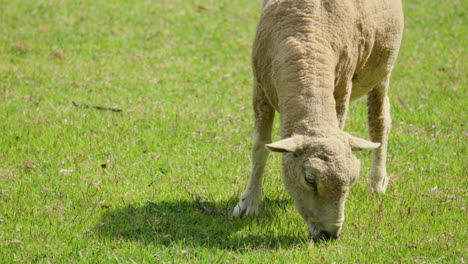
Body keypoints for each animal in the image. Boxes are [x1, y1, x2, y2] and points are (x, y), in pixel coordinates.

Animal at [232, 0, 404, 241]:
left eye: (352, 181)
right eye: (310, 179)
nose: (329, 234)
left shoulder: (342, 87)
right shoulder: (260, 88)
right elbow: (259, 149)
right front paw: (248, 203)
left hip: (383, 70)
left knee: (379, 121)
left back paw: (377, 182)